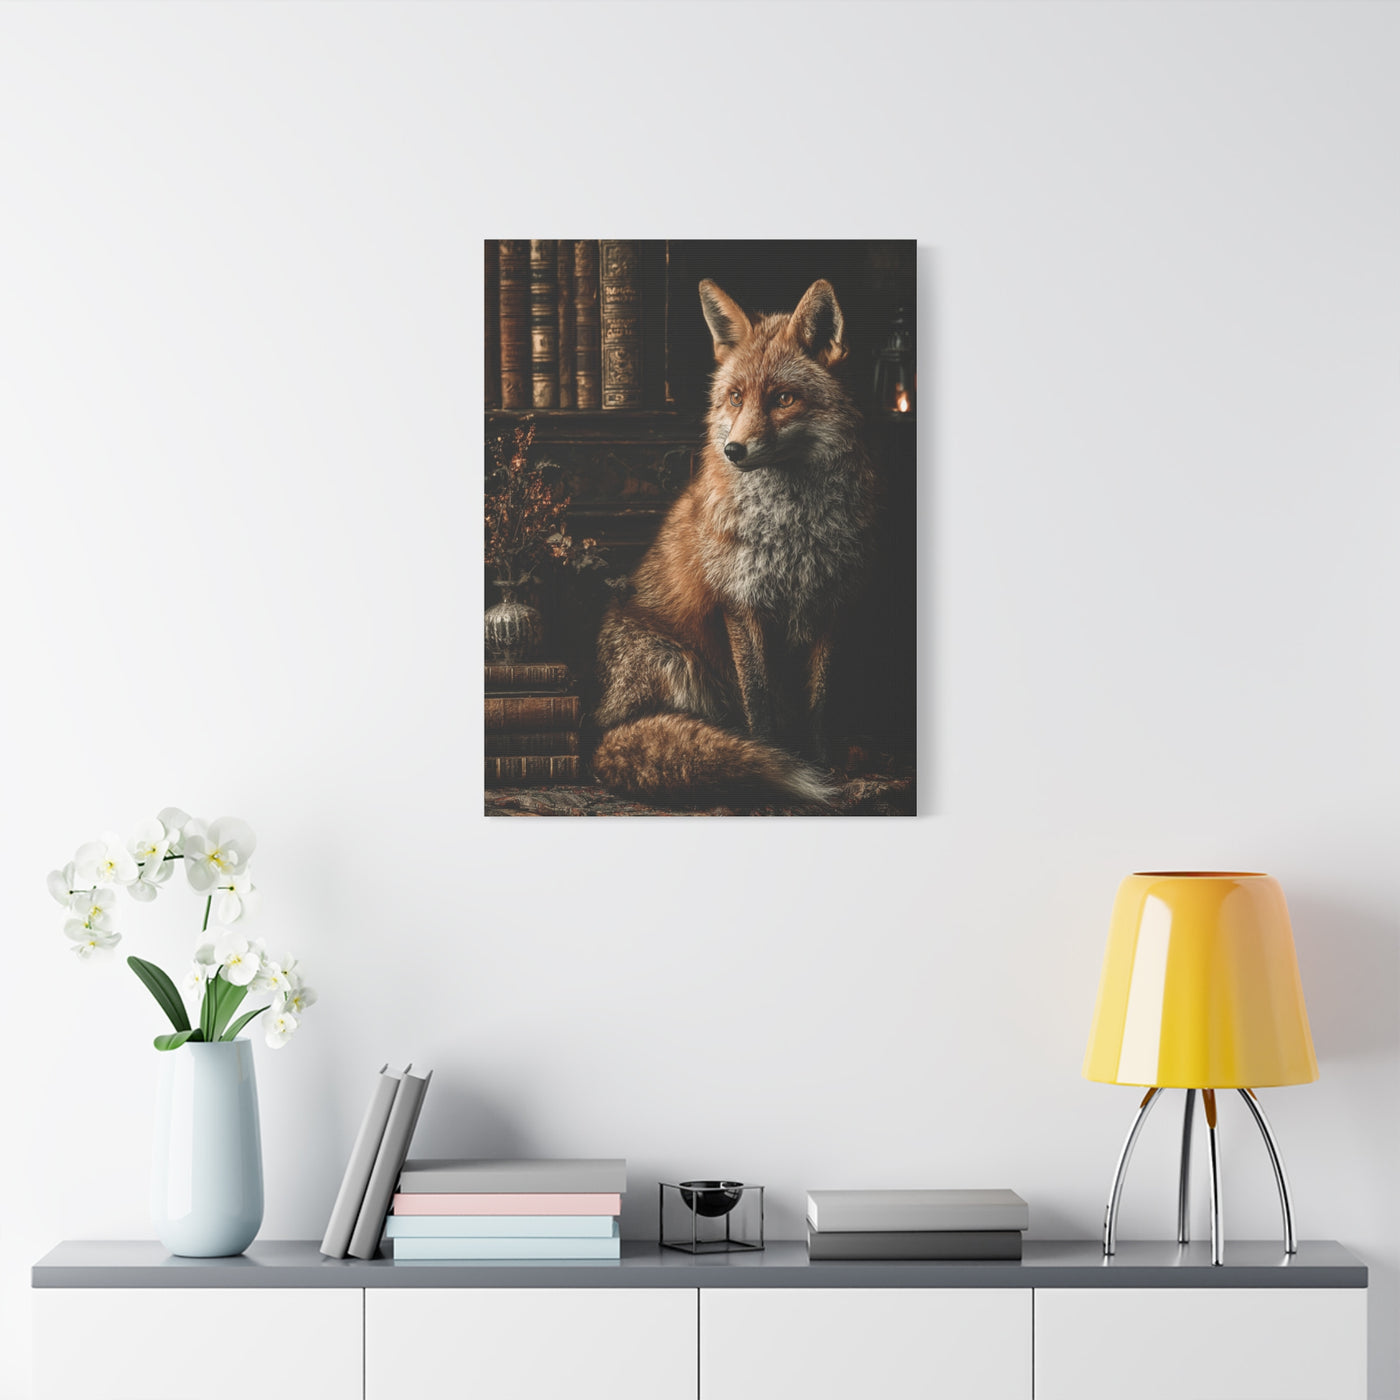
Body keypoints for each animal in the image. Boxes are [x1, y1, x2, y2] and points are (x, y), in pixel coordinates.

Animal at [592, 277, 877, 806]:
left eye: (784, 399)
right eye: (736, 397)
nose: (733, 450)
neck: (795, 530)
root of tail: (598, 734)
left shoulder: (832, 603)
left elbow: (819, 703)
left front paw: (823, 763)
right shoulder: (742, 603)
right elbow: (758, 702)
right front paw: (774, 759)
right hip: (675, 661)